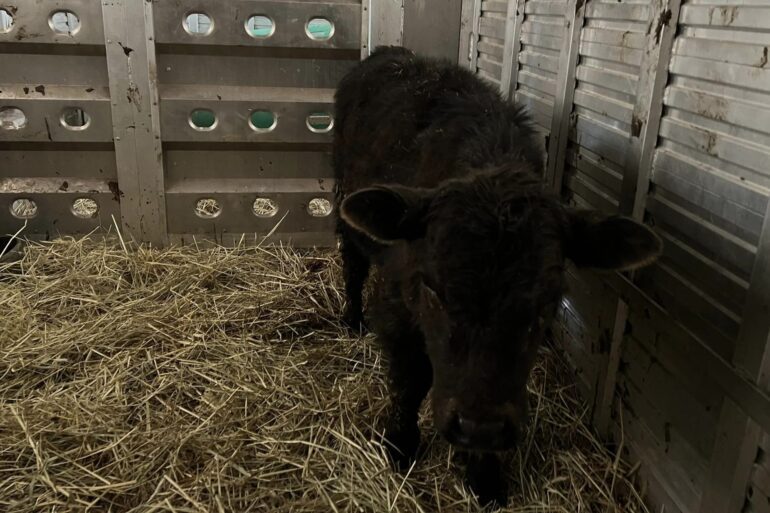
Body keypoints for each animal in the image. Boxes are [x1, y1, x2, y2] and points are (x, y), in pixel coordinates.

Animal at [333, 46, 661, 506]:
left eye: (548, 301)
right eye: (433, 290)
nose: (479, 427)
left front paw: (485, 478)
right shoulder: (396, 306)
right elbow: (409, 380)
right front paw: (400, 444)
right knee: (352, 262)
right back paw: (350, 319)